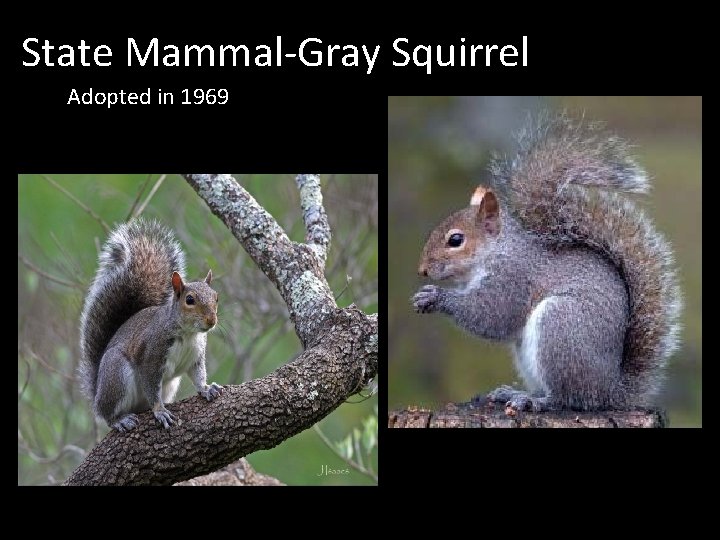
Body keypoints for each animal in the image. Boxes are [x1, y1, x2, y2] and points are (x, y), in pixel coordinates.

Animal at [79, 218, 223, 432]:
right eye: (189, 300)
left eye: (216, 297)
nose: (211, 320)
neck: (188, 335)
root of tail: (97, 391)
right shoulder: (151, 356)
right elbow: (151, 386)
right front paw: (160, 410)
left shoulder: (195, 356)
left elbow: (198, 375)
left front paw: (206, 389)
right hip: (117, 374)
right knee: (107, 414)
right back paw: (119, 420)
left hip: (168, 386)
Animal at [412, 114, 681, 411]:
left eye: (456, 240)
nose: (422, 270)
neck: (498, 251)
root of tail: (610, 391)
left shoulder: (514, 279)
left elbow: (491, 315)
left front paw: (437, 297)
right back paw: (513, 393)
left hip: (560, 328)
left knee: (567, 397)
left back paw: (533, 400)